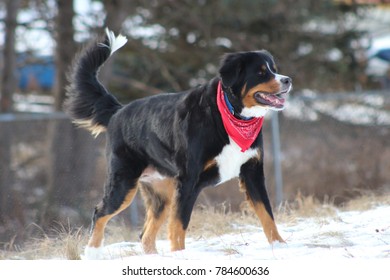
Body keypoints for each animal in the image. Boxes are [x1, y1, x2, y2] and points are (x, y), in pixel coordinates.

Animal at [64, 29, 290, 260]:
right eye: (261, 72)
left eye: (274, 69)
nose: (287, 80)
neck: (229, 115)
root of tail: (118, 111)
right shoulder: (189, 180)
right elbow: (179, 224)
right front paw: (180, 254)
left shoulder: (252, 172)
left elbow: (267, 214)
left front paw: (279, 245)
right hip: (123, 183)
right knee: (100, 212)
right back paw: (92, 252)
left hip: (160, 194)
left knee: (145, 235)